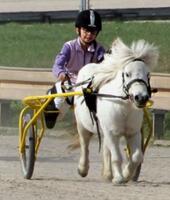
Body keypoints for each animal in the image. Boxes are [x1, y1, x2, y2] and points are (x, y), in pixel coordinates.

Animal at [73, 38, 159, 184]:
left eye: (148, 75)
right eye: (127, 74)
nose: (141, 97)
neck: (123, 107)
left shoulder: (133, 132)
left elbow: (136, 157)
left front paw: (126, 174)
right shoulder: (112, 132)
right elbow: (117, 156)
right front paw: (119, 178)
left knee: (106, 149)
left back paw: (107, 174)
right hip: (82, 124)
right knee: (85, 144)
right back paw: (83, 169)